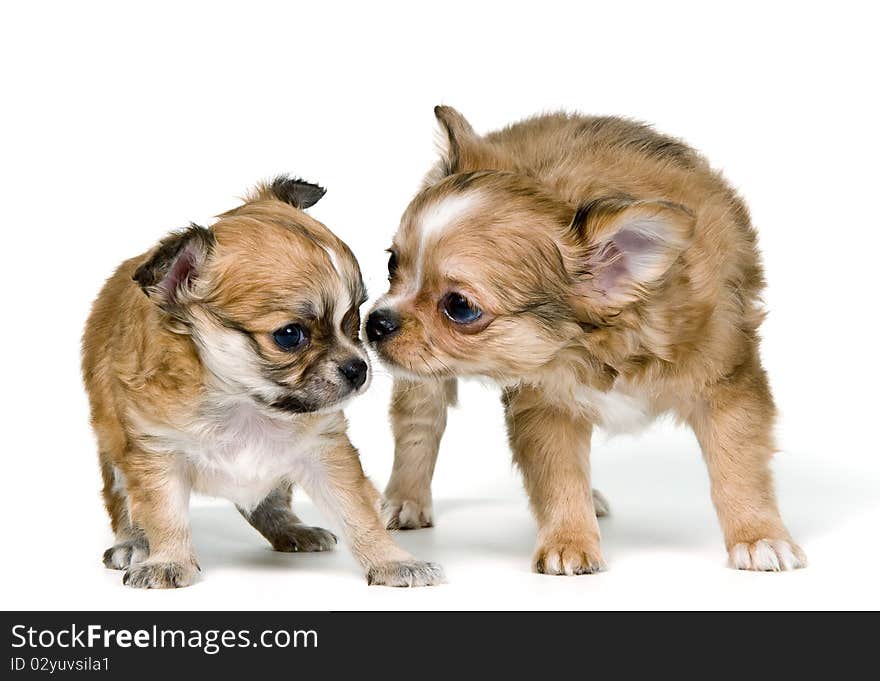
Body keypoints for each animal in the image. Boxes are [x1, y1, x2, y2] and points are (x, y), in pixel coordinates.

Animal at [82, 178, 444, 588]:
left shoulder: (325, 450)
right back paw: (132, 543)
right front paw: (168, 561)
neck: (243, 404)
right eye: (290, 335)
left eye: (354, 321)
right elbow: (165, 515)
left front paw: (393, 561)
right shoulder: (156, 452)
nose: (359, 368)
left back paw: (292, 529)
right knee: (121, 500)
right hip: (113, 446)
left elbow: (358, 514)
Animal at [368, 106, 808, 572]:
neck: (591, 348)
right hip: (421, 382)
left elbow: (738, 468)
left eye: (460, 307)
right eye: (392, 264)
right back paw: (406, 499)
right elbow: (560, 477)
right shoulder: (546, 406)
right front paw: (569, 541)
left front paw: (759, 536)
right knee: (419, 425)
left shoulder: (727, 386)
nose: (375, 322)